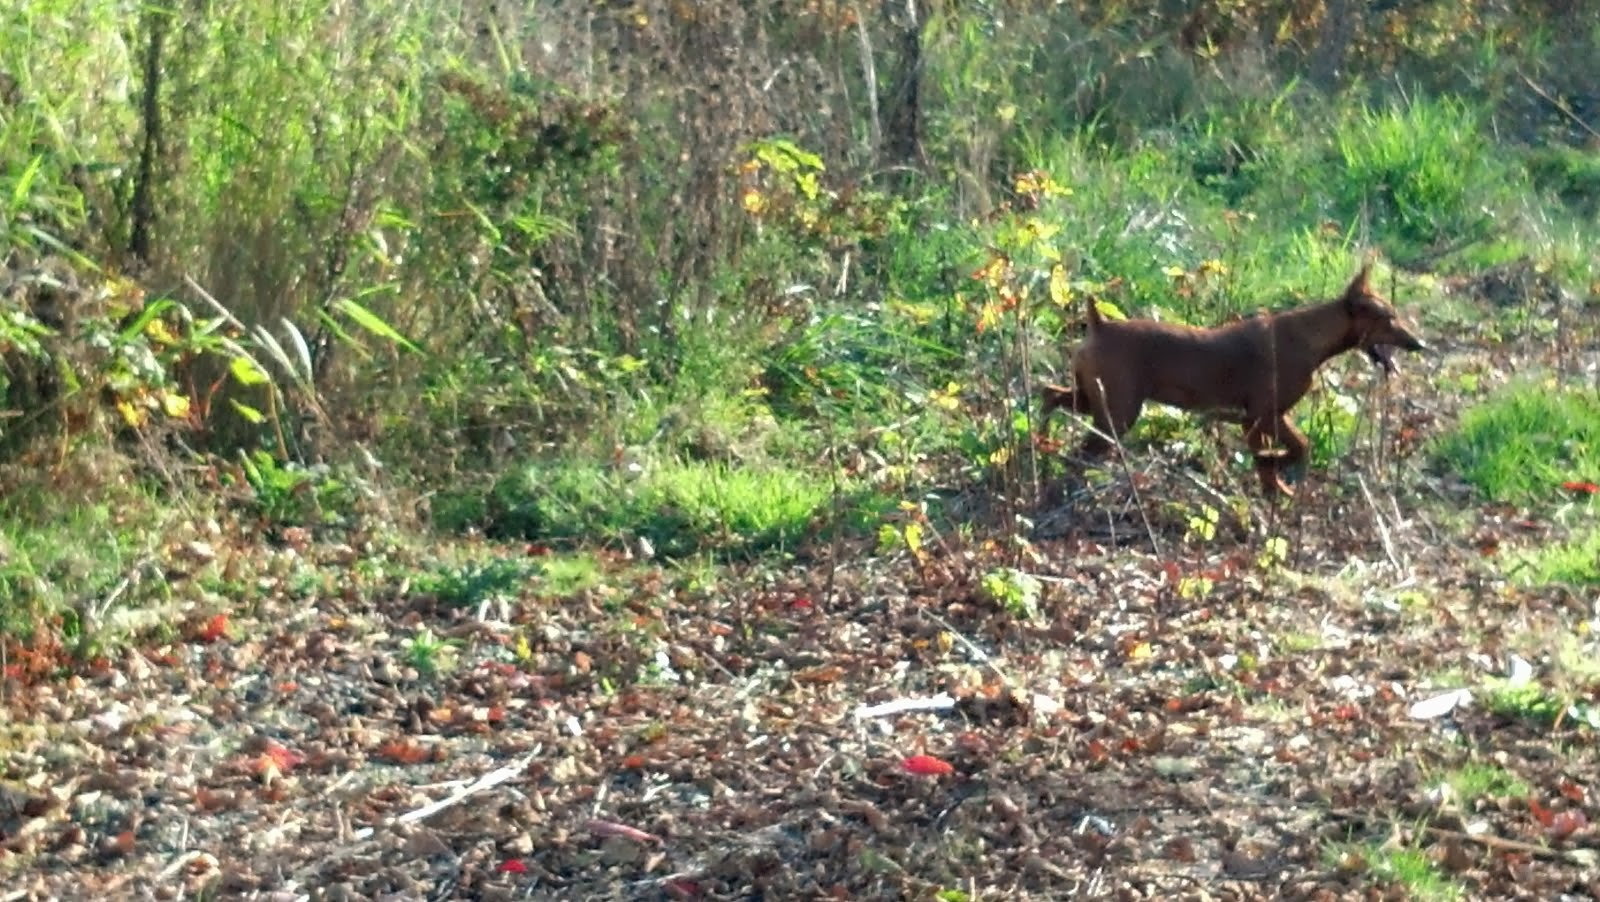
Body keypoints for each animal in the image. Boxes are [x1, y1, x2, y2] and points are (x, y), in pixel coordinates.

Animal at [1036, 267, 1427, 495]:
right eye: (1389, 319)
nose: (1419, 343)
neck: (1310, 336)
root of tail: (1100, 324)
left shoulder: (1272, 416)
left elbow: (1298, 448)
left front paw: (1277, 487)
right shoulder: (1258, 419)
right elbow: (1278, 455)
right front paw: (1274, 469)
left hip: (1092, 398)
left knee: (1049, 394)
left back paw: (1041, 442)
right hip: (1118, 412)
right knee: (1082, 448)